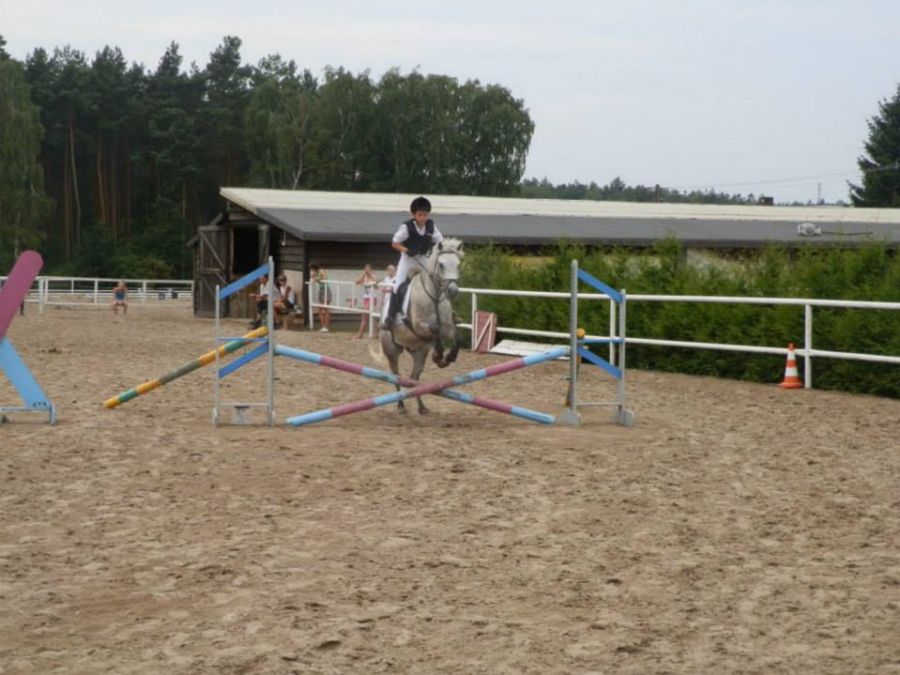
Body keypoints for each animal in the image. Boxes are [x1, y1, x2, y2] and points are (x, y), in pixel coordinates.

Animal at [379, 238, 464, 415]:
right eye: (441, 265)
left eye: (458, 264)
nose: (452, 291)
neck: (435, 296)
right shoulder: (419, 326)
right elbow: (435, 329)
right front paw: (438, 355)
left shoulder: (447, 327)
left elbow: (457, 337)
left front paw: (448, 358)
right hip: (392, 350)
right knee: (396, 376)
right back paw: (401, 406)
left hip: (419, 351)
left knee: (414, 378)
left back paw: (422, 407)